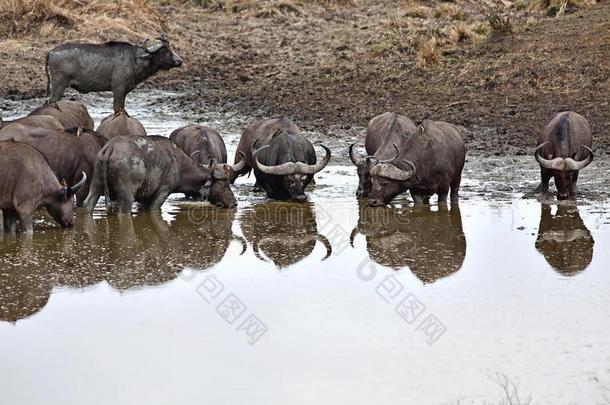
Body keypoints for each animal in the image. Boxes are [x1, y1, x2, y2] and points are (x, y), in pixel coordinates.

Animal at [45, 34, 180, 112]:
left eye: (169, 49)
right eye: (163, 51)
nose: (180, 61)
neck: (134, 59)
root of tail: (51, 51)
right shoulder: (118, 89)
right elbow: (118, 108)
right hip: (59, 86)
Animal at [84, 135, 236, 215]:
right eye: (225, 184)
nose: (234, 203)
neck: (181, 165)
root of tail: (110, 147)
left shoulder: (145, 198)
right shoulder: (163, 192)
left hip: (96, 182)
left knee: (88, 203)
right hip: (127, 195)